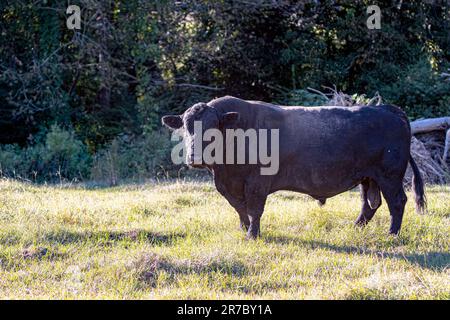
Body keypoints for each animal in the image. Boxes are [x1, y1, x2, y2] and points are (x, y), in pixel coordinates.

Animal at [162, 96, 426, 239]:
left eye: (213, 127)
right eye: (185, 127)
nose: (195, 157)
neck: (225, 169)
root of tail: (389, 109)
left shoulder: (257, 182)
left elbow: (254, 210)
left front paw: (252, 235)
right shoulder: (229, 185)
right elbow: (240, 209)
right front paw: (244, 229)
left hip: (389, 175)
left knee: (396, 202)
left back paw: (392, 234)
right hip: (368, 177)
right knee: (370, 203)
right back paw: (355, 228)